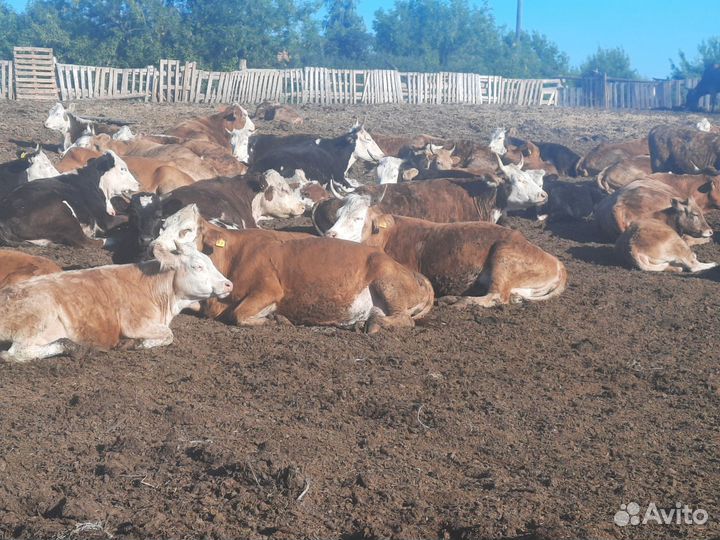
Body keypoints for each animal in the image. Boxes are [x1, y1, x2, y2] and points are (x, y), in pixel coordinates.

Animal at [0, 152, 139, 247]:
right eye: (123, 169)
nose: (138, 184)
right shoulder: (105, 219)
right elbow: (126, 217)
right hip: (63, 213)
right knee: (86, 242)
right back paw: (115, 239)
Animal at [0, 242, 232, 362]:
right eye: (198, 266)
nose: (228, 284)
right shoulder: (136, 324)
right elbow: (168, 335)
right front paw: (136, 343)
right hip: (36, 323)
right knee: (16, 354)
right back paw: (72, 347)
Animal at [152, 205, 434, 332]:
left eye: (186, 230)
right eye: (162, 226)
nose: (154, 247)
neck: (231, 256)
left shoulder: (269, 290)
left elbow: (239, 315)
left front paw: (276, 318)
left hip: (386, 281)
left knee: (404, 319)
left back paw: (374, 323)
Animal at [324, 200, 567, 307]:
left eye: (358, 218)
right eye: (338, 214)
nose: (330, 234)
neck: (387, 237)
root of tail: (556, 262)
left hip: (504, 255)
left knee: (497, 296)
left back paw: (458, 300)